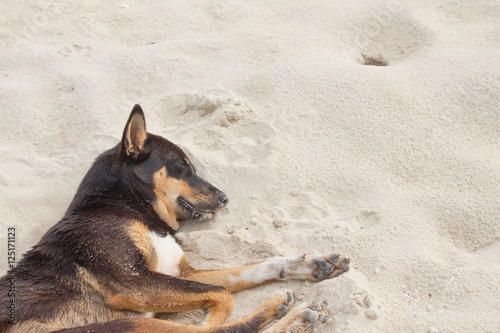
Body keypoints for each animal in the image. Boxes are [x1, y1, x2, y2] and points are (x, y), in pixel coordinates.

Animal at [0, 105, 352, 330]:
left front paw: (310, 263)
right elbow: (222, 299)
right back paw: (296, 318)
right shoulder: (133, 282)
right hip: (128, 325)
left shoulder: (182, 273)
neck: (126, 209)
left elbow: (248, 271)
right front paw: (211, 317)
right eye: (182, 167)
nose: (225, 198)